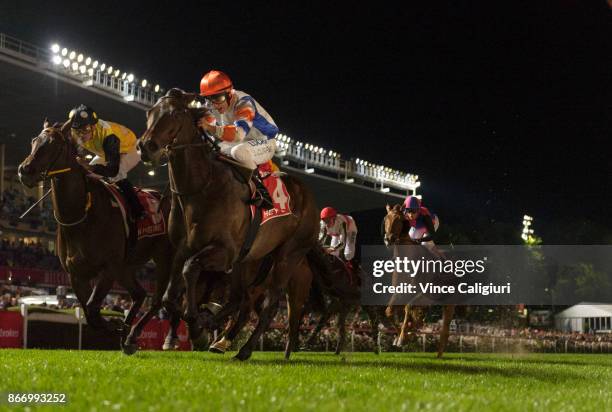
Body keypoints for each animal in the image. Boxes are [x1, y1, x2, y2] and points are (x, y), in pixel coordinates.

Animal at [17, 120, 183, 354]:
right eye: (34, 141)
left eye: (54, 143)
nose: (25, 171)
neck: (81, 215)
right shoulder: (77, 274)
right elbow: (89, 313)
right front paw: (116, 326)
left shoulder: (108, 268)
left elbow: (94, 308)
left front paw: (117, 325)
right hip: (126, 266)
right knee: (141, 294)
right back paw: (130, 335)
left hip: (165, 258)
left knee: (159, 299)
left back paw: (147, 336)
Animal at [139, 89, 320, 360]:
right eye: (151, 112)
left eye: (176, 113)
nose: (146, 147)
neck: (202, 187)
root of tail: (309, 196)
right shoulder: (182, 248)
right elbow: (170, 297)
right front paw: (199, 327)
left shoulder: (224, 252)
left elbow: (190, 269)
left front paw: (198, 328)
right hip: (248, 260)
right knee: (240, 299)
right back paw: (219, 333)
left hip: (289, 255)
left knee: (270, 304)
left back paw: (244, 349)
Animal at [382, 205, 454, 358]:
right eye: (386, 219)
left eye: (398, 219)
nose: (389, 239)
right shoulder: (399, 292)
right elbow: (389, 311)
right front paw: (401, 336)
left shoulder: (420, 292)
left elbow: (408, 308)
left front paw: (402, 338)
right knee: (420, 317)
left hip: (448, 301)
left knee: (445, 327)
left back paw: (439, 354)